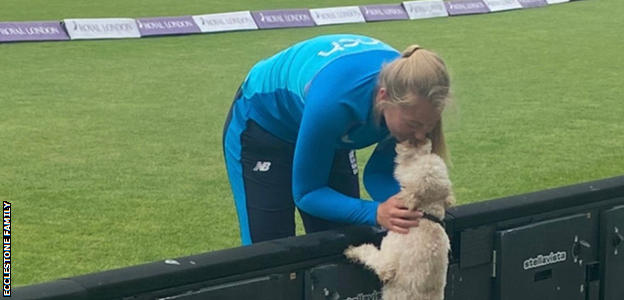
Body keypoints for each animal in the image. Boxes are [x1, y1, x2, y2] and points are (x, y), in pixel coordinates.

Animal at [344, 140, 456, 300]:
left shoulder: (386, 264)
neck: (425, 216)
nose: (410, 143)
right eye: (422, 154)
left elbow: (369, 252)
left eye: (413, 160)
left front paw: (353, 250)